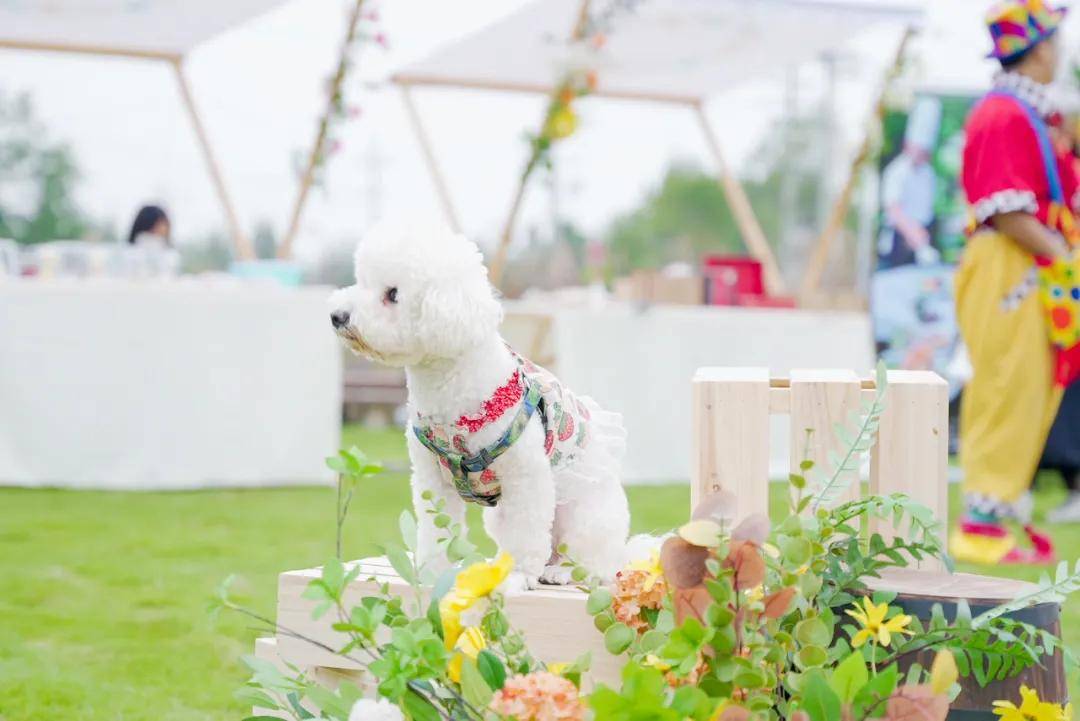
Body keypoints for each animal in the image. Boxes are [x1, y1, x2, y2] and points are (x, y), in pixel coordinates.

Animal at [328, 222, 630, 587]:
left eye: (393, 294)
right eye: (361, 282)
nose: (337, 315)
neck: (451, 390)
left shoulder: (526, 476)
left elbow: (526, 533)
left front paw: (518, 575)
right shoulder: (430, 479)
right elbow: (435, 532)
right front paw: (433, 574)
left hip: (584, 513)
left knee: (596, 564)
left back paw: (560, 571)